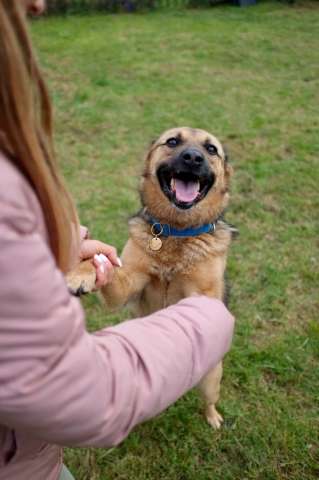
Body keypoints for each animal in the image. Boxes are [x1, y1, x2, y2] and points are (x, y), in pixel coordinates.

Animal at [67, 126, 236, 428]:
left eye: (211, 149)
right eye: (172, 141)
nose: (193, 158)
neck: (176, 232)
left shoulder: (205, 294)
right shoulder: (130, 280)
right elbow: (103, 265)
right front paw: (81, 273)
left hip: (211, 378)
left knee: (209, 401)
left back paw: (214, 419)